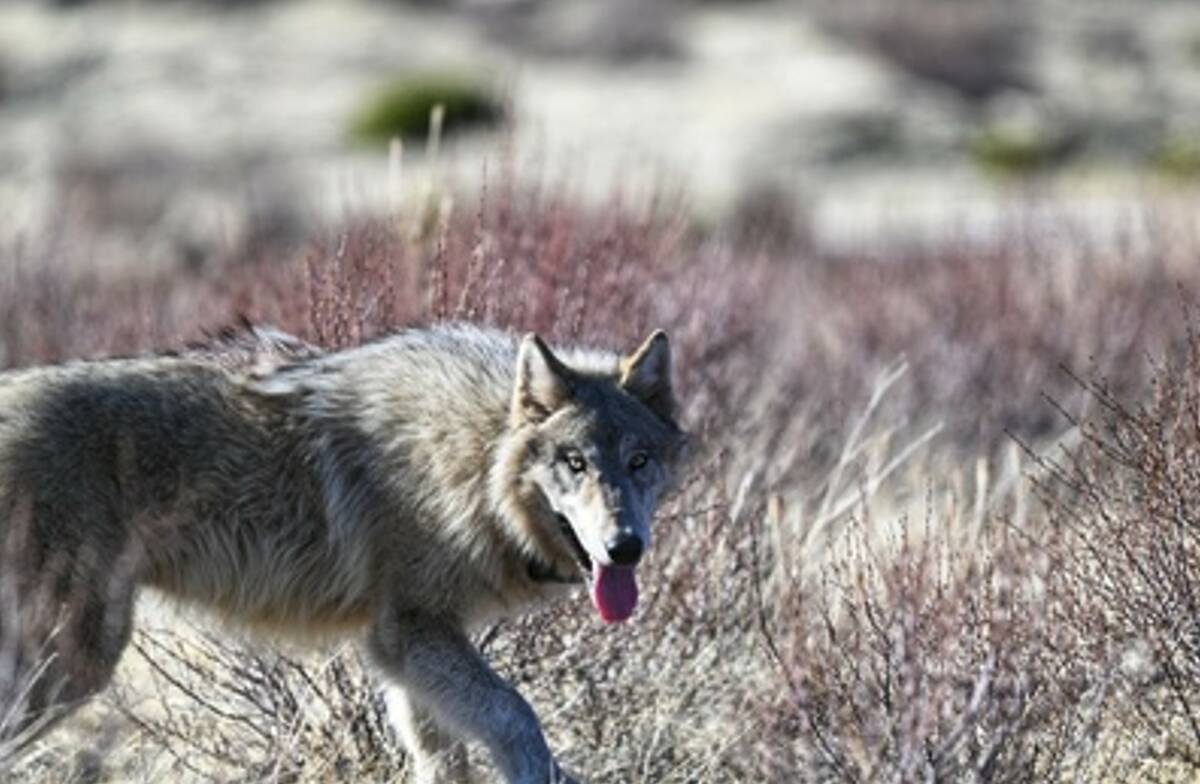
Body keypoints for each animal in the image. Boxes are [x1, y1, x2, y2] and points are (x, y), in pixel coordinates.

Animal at [0, 322, 686, 783]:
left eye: (638, 462)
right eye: (575, 463)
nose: (625, 547)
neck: (472, 459)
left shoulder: (406, 653)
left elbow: (446, 755)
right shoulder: (410, 632)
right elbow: (517, 716)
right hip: (74, 662)